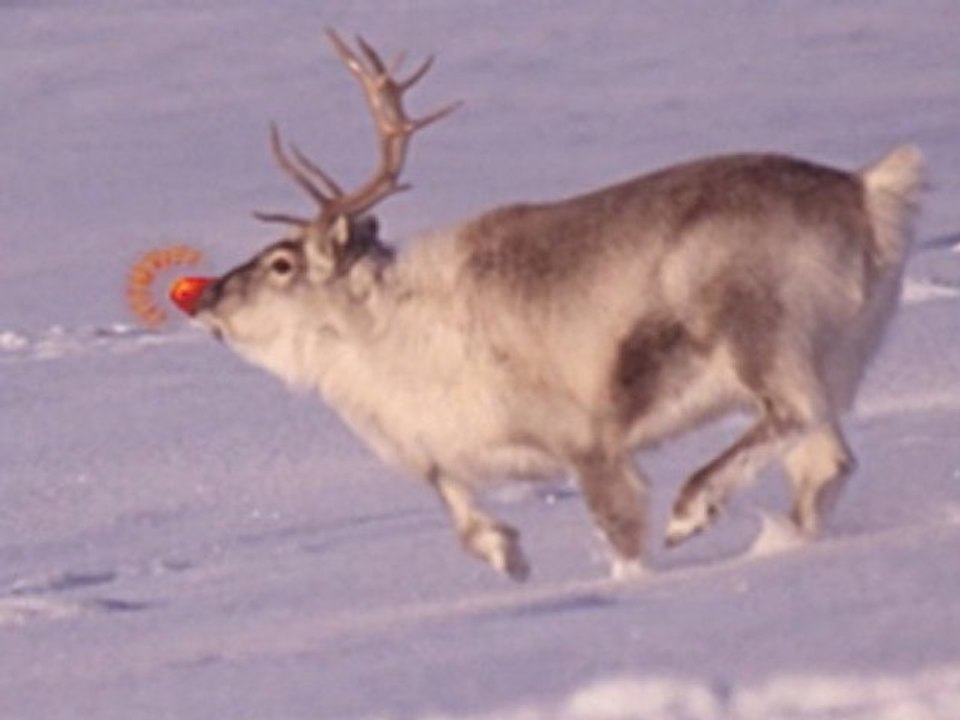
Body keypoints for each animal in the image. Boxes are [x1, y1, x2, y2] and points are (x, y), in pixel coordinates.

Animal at [189, 29, 923, 582]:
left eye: (281, 264)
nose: (204, 300)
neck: (395, 337)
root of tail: (866, 195)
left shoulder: (589, 439)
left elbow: (622, 535)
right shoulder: (452, 448)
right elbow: (453, 499)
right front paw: (506, 554)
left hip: (759, 337)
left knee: (792, 418)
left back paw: (693, 510)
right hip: (835, 357)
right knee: (825, 461)